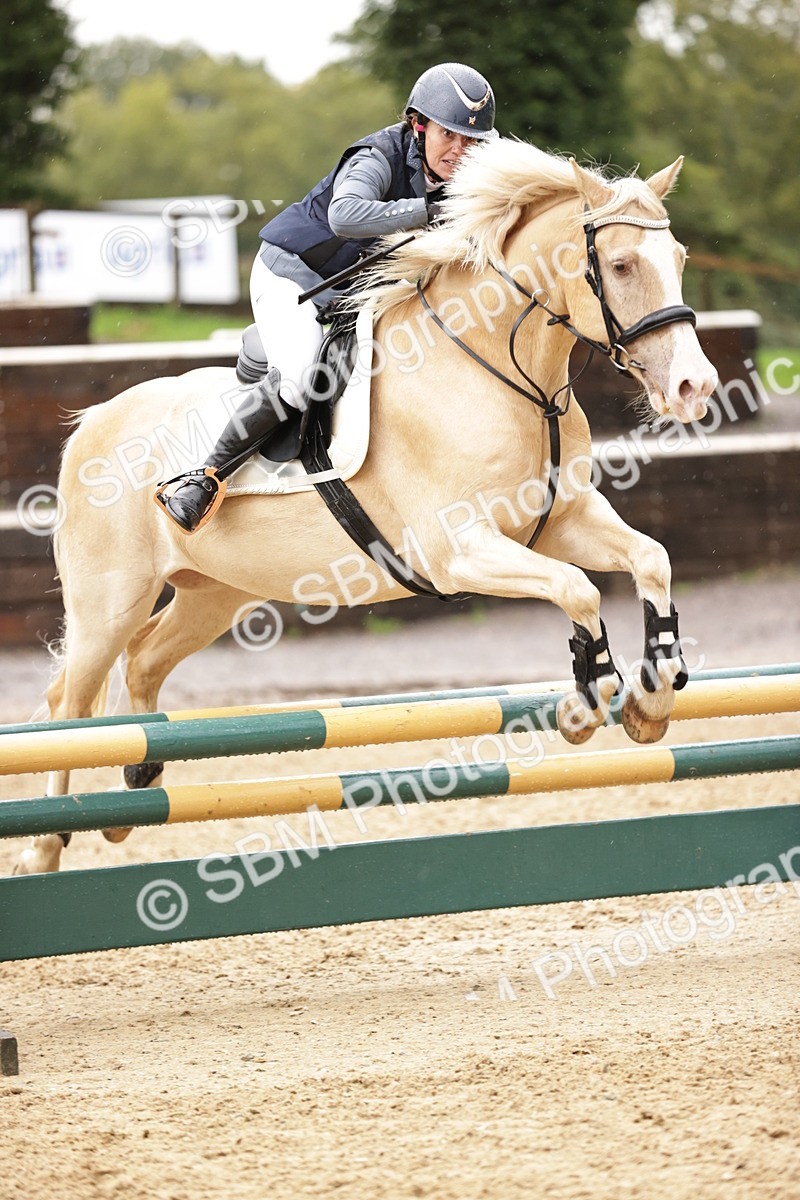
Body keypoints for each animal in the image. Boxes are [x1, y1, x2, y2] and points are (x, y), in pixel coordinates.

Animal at [13, 139, 717, 875]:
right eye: (621, 264)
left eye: (679, 259)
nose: (695, 387)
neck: (497, 370)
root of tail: (93, 421)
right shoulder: (459, 549)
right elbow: (579, 589)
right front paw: (588, 703)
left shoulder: (561, 521)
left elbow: (650, 559)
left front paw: (653, 698)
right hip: (109, 600)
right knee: (69, 702)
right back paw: (44, 845)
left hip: (216, 593)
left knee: (145, 661)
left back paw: (137, 790)